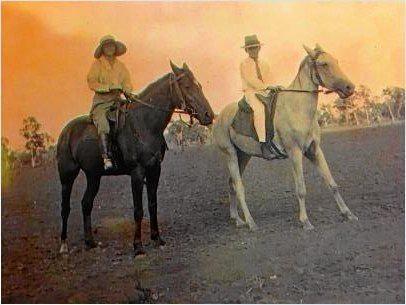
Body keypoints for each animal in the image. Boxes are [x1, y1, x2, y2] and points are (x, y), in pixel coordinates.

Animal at [58, 61, 216, 254]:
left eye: (199, 85)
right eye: (186, 86)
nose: (209, 115)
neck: (144, 124)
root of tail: (66, 131)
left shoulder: (155, 169)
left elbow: (152, 204)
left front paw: (157, 239)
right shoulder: (137, 173)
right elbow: (138, 210)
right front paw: (138, 246)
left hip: (93, 175)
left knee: (86, 204)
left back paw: (90, 242)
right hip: (67, 177)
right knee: (65, 208)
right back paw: (64, 245)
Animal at [213, 44, 358, 230]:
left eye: (336, 61)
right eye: (324, 64)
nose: (350, 88)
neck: (296, 108)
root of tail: (219, 117)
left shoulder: (314, 150)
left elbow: (332, 183)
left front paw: (348, 213)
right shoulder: (294, 152)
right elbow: (301, 189)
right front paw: (305, 221)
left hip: (243, 156)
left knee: (231, 184)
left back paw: (237, 219)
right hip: (230, 154)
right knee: (238, 186)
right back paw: (250, 223)